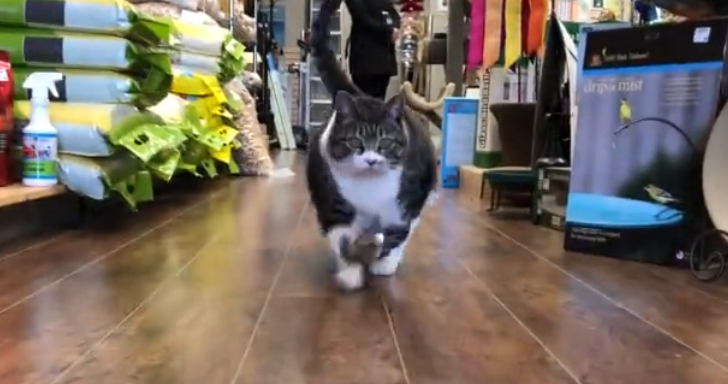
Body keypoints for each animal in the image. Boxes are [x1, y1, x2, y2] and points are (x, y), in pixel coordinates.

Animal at [304, 0, 436, 290]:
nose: (372, 160)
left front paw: (384, 265)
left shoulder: (405, 205)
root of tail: (360, 94)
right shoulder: (332, 206)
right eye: (355, 141)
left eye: (386, 143)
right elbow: (340, 241)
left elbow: (398, 235)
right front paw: (351, 273)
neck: (370, 189)